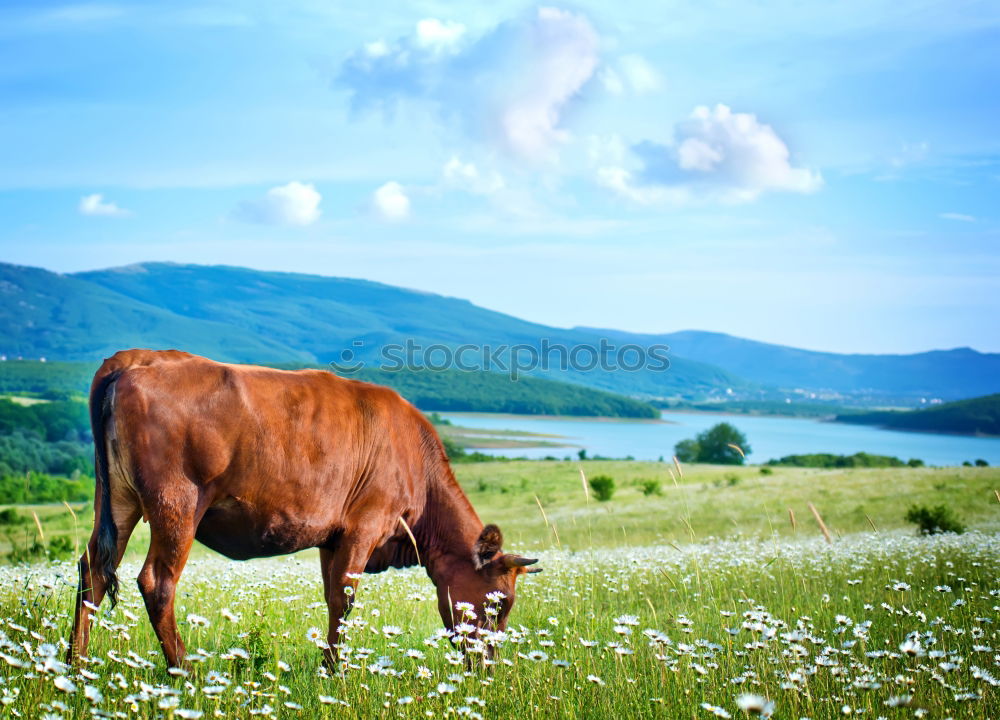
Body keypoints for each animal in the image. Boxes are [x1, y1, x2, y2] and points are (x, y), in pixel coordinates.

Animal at [68, 348, 540, 668]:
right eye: (500, 603)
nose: (488, 665)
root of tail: (136, 359)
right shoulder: (365, 525)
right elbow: (345, 599)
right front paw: (337, 672)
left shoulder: (332, 538)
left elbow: (332, 599)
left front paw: (328, 666)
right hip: (177, 505)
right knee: (157, 582)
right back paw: (184, 670)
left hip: (117, 500)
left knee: (92, 570)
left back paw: (75, 664)